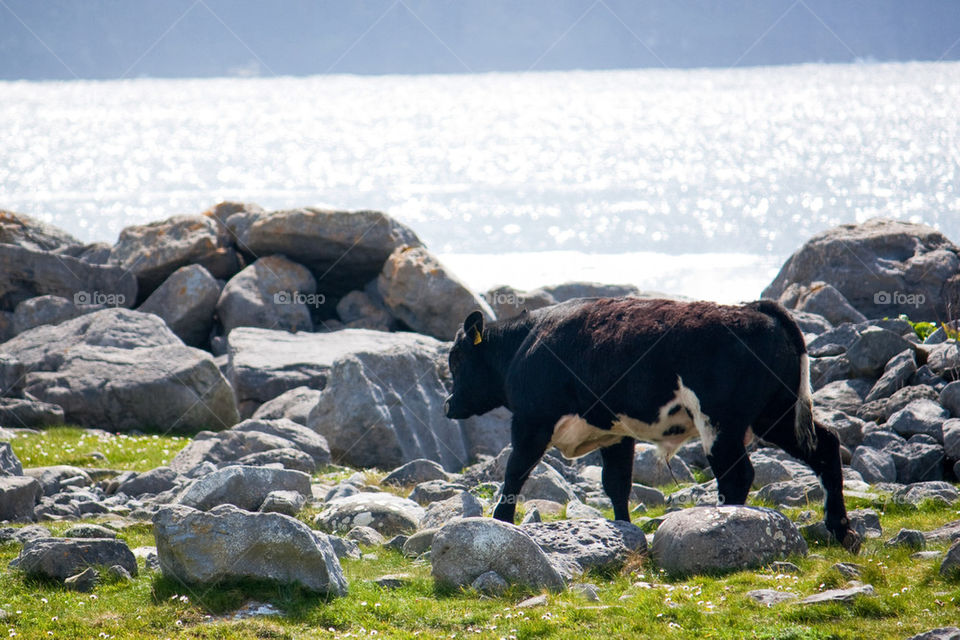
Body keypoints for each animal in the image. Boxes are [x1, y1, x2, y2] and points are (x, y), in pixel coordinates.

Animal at [444, 298, 864, 552]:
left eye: (457, 359)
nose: (448, 404)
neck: (524, 345)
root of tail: (758, 310)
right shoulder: (615, 433)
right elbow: (616, 485)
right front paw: (624, 530)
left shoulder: (532, 422)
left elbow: (514, 473)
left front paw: (500, 524)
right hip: (777, 415)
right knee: (826, 446)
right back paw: (842, 529)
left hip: (721, 422)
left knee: (737, 474)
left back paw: (724, 523)